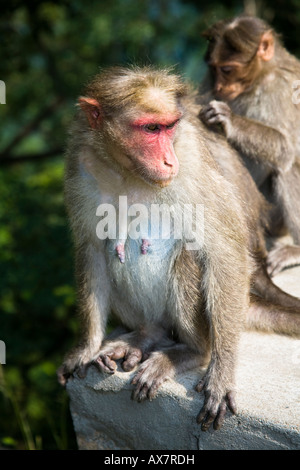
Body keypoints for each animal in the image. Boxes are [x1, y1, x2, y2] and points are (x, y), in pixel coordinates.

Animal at [57, 67, 300, 434]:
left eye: (168, 127)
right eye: (150, 129)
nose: (168, 160)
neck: (128, 169)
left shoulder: (191, 157)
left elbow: (224, 249)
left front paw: (222, 372)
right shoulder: (80, 162)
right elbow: (92, 247)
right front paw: (86, 347)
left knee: (189, 255)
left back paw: (190, 352)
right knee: (115, 250)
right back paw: (146, 336)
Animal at [199, 16, 300, 278]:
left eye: (227, 69)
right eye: (214, 69)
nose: (220, 87)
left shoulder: (280, 86)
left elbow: (286, 146)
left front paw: (230, 120)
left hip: (271, 217)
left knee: (288, 167)